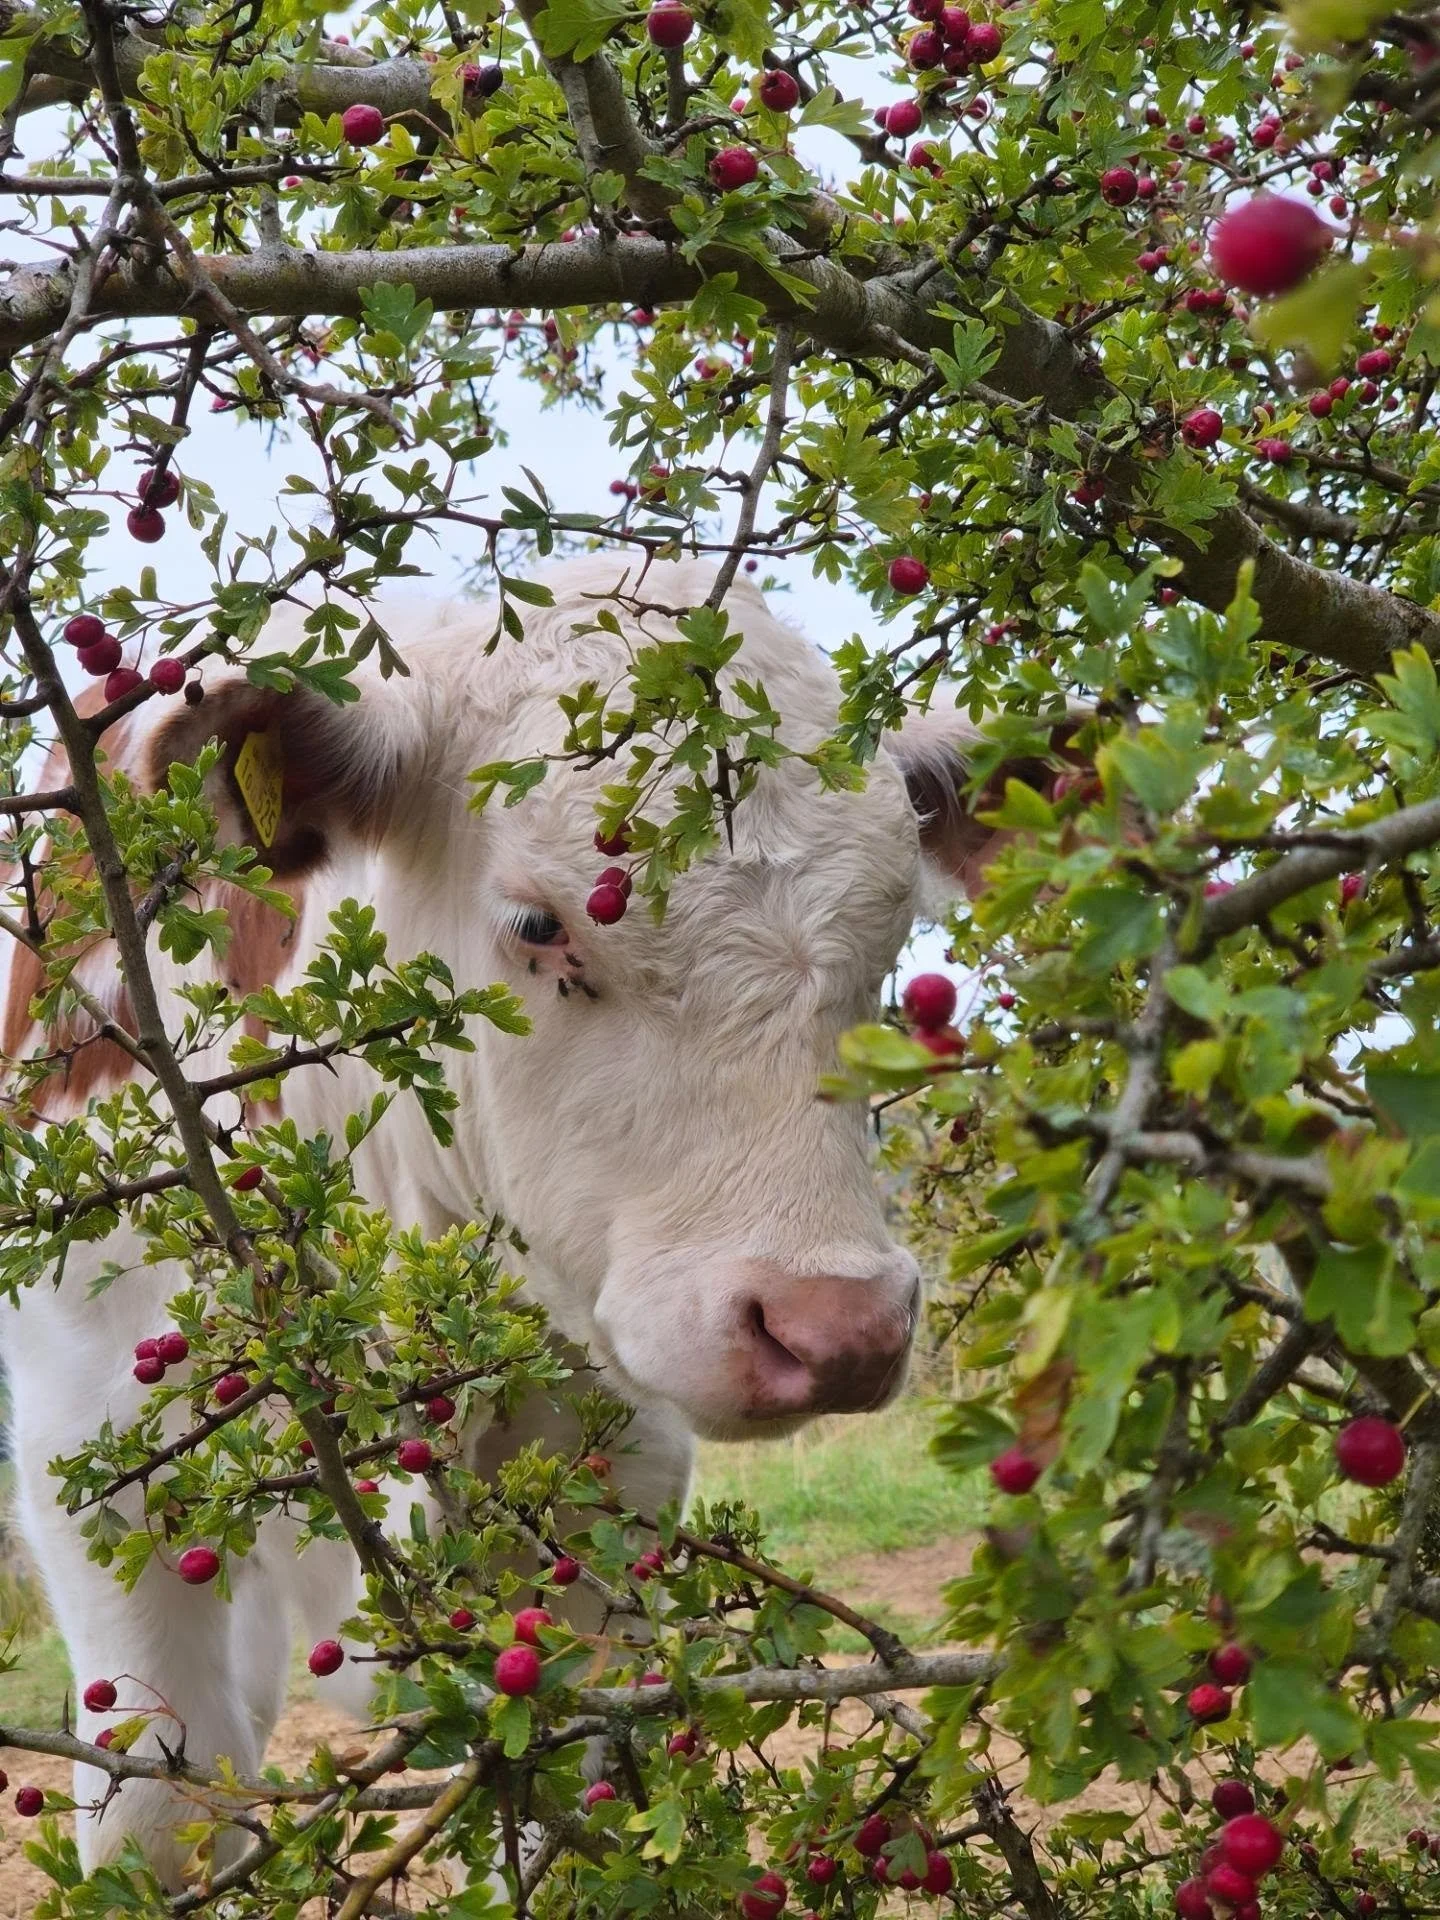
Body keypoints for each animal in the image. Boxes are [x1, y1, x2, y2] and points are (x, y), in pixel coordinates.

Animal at [0, 554, 1054, 1886]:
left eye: (892, 933)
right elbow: (165, 1825)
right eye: (541, 924)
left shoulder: (607, 1470)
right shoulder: (97, 1449)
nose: (839, 1328)